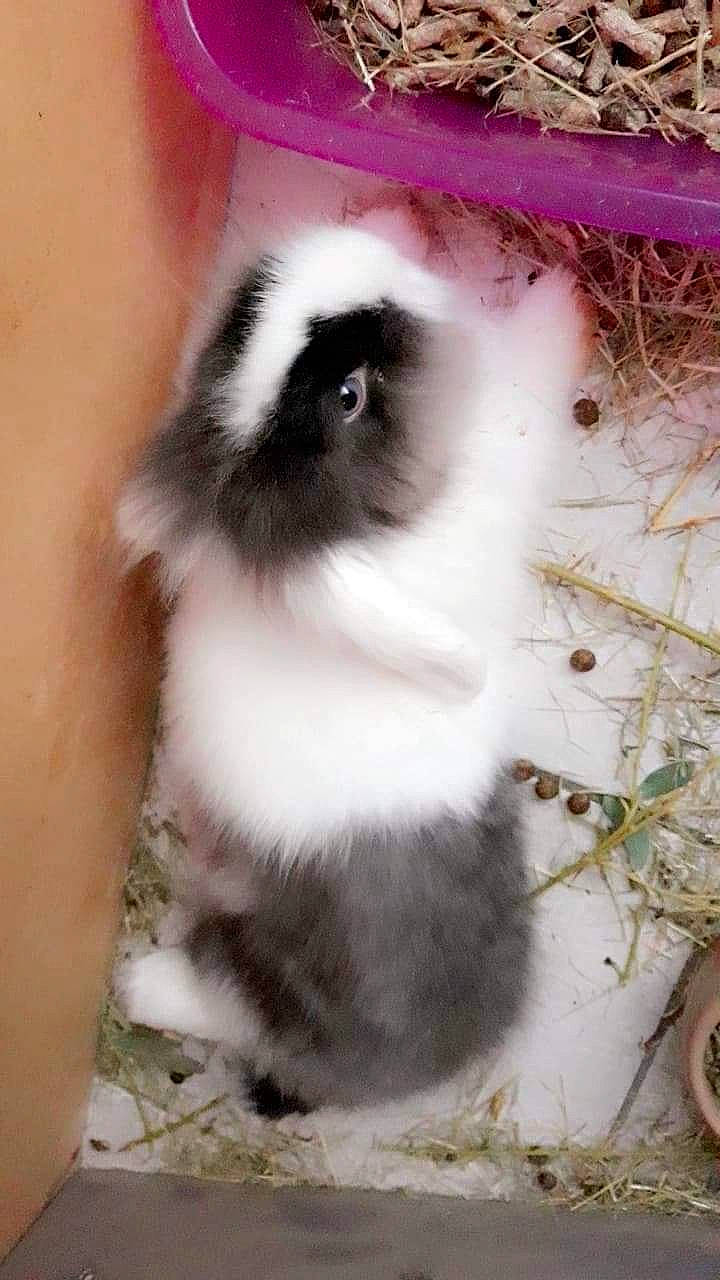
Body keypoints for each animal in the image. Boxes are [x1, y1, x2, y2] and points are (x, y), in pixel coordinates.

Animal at [116, 221, 595, 1113]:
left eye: (248, 310)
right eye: (349, 397)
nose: (349, 253)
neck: (361, 522)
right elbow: (539, 349)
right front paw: (569, 288)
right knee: (230, 1005)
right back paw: (142, 987)